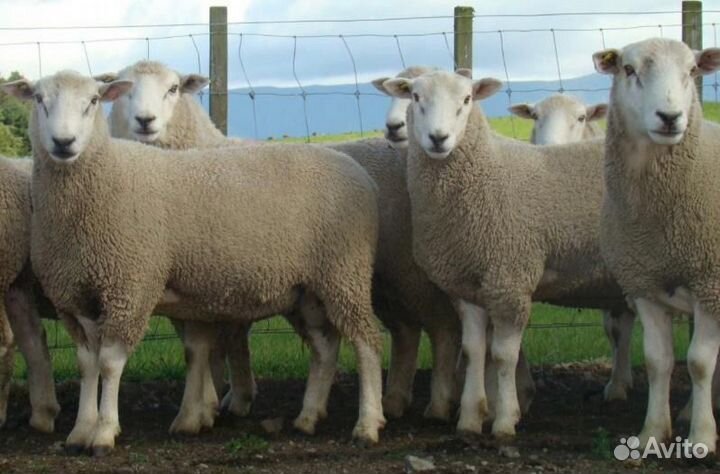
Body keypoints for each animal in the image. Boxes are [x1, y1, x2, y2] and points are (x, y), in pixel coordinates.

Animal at [3, 70, 385, 455]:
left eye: (93, 101)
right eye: (39, 99)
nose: (63, 142)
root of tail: (359, 173)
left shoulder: (130, 287)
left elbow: (109, 364)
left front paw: (105, 432)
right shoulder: (75, 296)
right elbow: (87, 364)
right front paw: (81, 430)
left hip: (344, 271)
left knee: (366, 342)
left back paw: (368, 423)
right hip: (308, 289)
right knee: (325, 346)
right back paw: (308, 417)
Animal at [383, 69, 631, 439]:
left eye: (467, 98)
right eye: (415, 96)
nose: (438, 138)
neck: (487, 172)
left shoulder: (509, 280)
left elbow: (502, 355)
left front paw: (504, 419)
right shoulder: (466, 284)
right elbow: (473, 350)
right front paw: (470, 420)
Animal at [593, 38, 720, 452]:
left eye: (692, 71)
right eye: (629, 69)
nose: (670, 117)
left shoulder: (709, 284)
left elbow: (699, 362)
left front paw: (702, 437)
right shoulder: (643, 283)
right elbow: (657, 360)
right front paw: (652, 431)